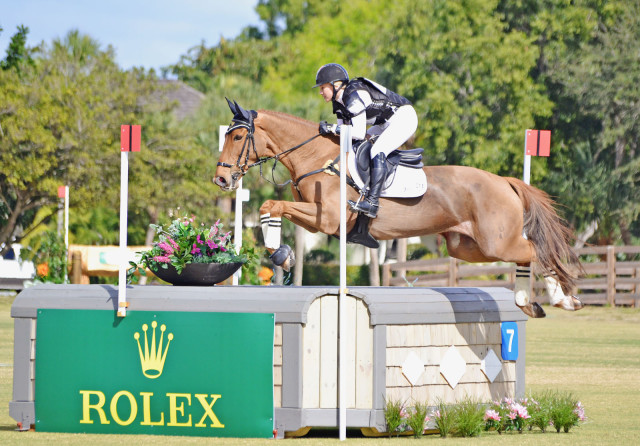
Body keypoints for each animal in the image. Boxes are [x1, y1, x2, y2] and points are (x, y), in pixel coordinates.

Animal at [216, 100, 584, 318]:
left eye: (237, 138)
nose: (220, 178)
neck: (317, 157)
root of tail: (503, 181)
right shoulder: (315, 219)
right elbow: (272, 205)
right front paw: (282, 254)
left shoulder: (328, 218)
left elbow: (272, 204)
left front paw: (279, 254)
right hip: (467, 246)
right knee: (526, 253)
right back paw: (528, 301)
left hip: (496, 241)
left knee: (536, 250)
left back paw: (562, 299)